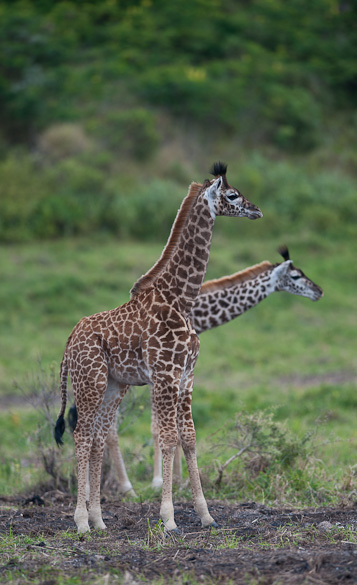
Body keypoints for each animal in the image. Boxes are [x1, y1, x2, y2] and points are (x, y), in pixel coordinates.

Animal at [55, 162, 262, 532]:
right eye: (232, 195)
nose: (256, 210)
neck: (180, 297)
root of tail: (69, 342)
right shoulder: (166, 374)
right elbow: (168, 438)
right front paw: (168, 517)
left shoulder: (186, 376)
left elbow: (189, 438)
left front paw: (205, 514)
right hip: (90, 382)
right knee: (82, 436)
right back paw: (81, 522)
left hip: (113, 386)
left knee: (97, 440)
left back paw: (99, 520)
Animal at [67, 246, 322, 498]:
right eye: (295, 276)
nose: (318, 291)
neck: (200, 312)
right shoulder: (166, 369)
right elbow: (159, 428)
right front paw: (160, 482)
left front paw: (178, 480)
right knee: (105, 427)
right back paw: (122, 488)